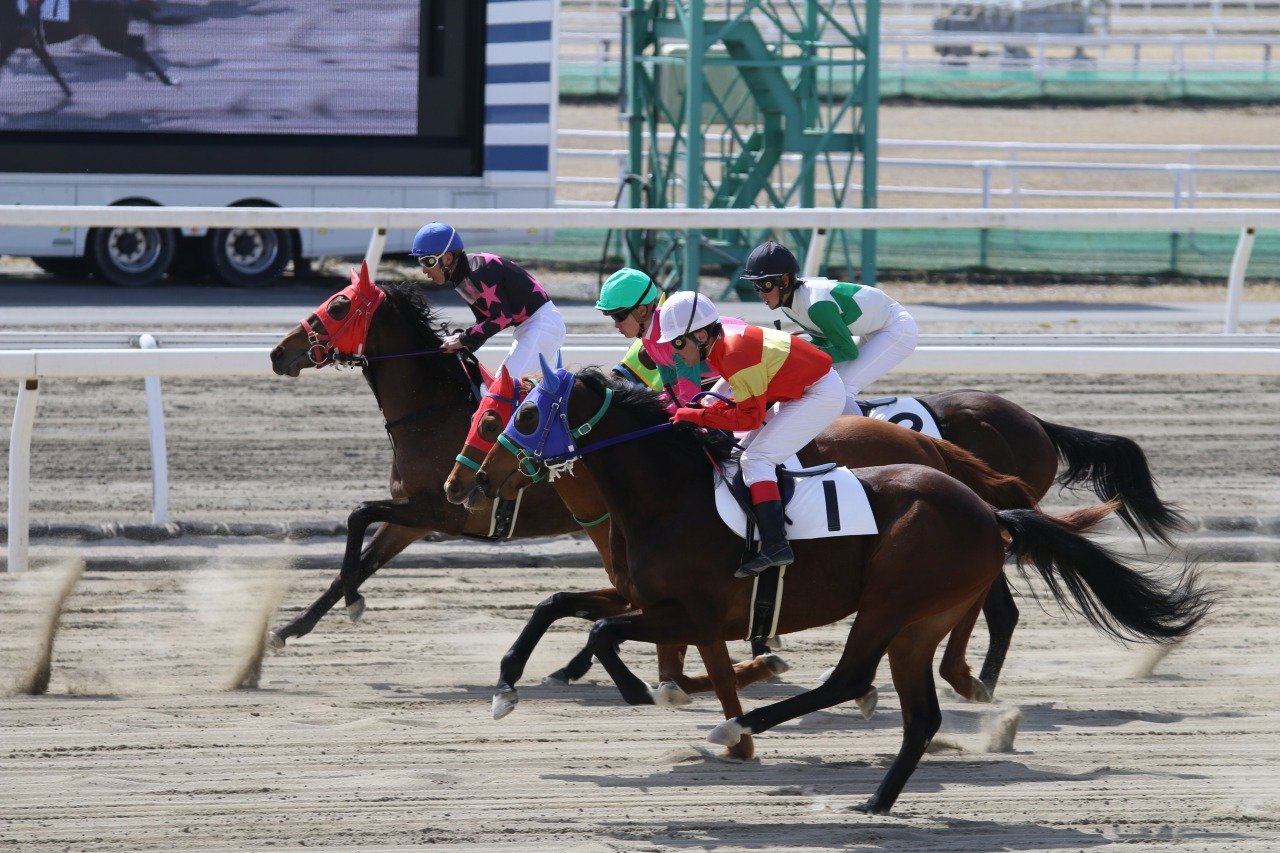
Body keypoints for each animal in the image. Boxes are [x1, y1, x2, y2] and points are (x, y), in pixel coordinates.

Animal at [0, 0, 175, 97]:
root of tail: (123, 3)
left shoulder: (11, 41)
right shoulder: (33, 43)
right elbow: (51, 67)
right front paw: (68, 92)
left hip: (110, 38)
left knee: (139, 50)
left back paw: (166, 79)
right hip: (113, 35)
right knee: (138, 40)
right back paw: (143, 68)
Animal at [478, 363, 1208, 809]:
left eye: (525, 415)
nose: (483, 479)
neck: (672, 495)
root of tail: (986, 508)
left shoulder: (694, 611)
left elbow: (607, 632)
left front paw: (650, 693)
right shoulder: (646, 598)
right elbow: (555, 605)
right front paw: (507, 688)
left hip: (891, 600)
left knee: (851, 676)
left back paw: (744, 726)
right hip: (919, 620)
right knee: (918, 706)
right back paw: (879, 796)